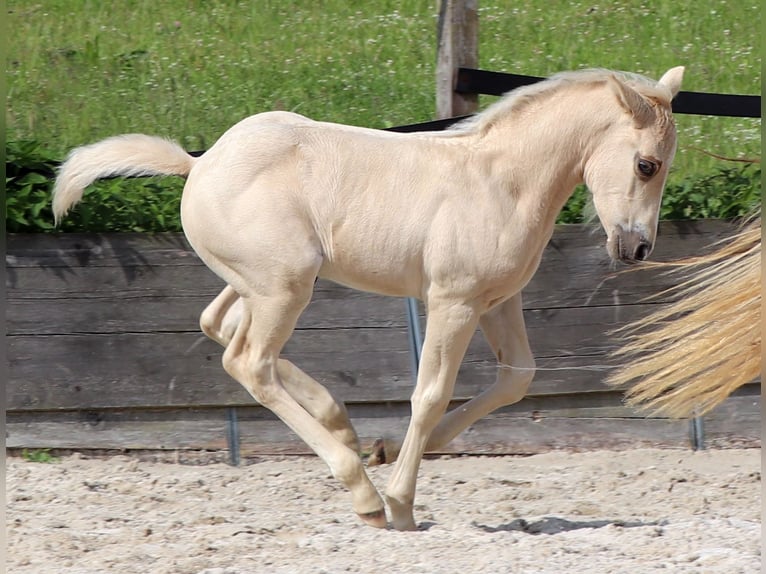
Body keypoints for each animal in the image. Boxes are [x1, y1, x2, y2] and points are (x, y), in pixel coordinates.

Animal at [57, 66, 688, 532]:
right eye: (646, 164)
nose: (636, 248)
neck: (501, 182)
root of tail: (200, 162)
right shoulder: (454, 301)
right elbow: (429, 393)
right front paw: (402, 504)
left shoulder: (498, 300)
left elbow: (518, 378)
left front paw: (405, 451)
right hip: (286, 285)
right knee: (249, 362)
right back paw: (362, 492)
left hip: (261, 282)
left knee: (219, 325)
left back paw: (342, 426)